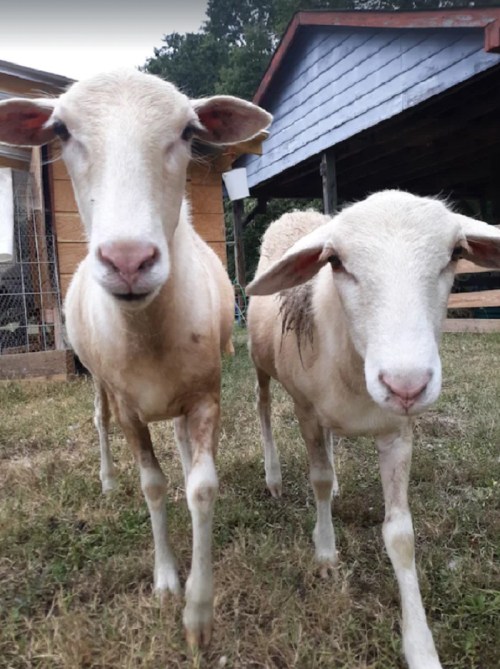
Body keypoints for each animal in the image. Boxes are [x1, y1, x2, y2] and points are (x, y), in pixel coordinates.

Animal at [0, 68, 272, 647]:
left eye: (190, 132)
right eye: (60, 131)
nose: (128, 260)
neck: (148, 330)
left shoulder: (206, 395)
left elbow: (201, 487)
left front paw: (198, 614)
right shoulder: (129, 410)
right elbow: (152, 485)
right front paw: (167, 580)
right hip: (99, 383)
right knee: (98, 421)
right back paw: (106, 480)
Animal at [246, 191, 500, 669]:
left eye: (455, 254)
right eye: (335, 261)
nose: (406, 384)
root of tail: (297, 214)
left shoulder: (398, 432)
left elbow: (400, 535)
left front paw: (420, 645)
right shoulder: (306, 413)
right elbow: (317, 481)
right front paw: (326, 552)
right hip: (261, 365)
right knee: (264, 409)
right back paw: (273, 477)